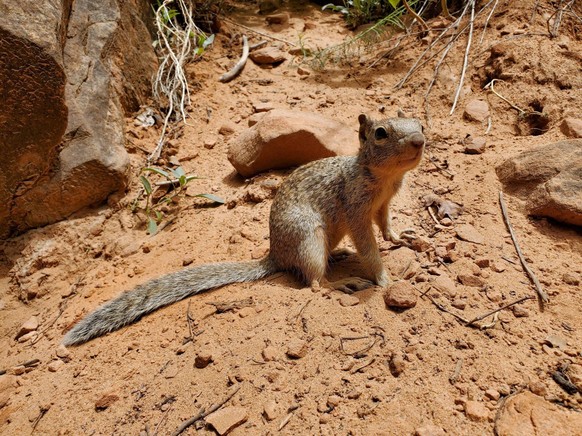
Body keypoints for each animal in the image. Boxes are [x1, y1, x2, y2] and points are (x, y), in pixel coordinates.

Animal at [64, 113, 426, 348]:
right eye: (381, 133)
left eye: (421, 123)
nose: (420, 140)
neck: (383, 178)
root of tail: (275, 255)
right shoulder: (356, 210)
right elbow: (368, 246)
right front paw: (383, 278)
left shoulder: (383, 203)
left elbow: (386, 225)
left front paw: (401, 238)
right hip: (308, 238)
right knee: (313, 283)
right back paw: (341, 283)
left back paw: (336, 257)